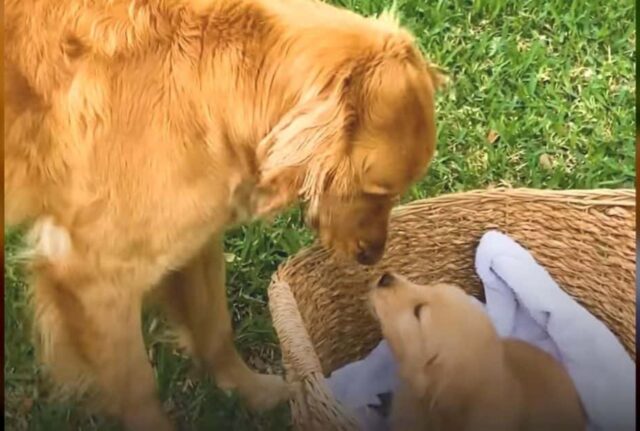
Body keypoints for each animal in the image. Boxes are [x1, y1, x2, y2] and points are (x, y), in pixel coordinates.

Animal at [5, 0, 444, 428]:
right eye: (377, 190)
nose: (372, 257)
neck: (205, 84)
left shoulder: (196, 236)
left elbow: (215, 328)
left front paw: (250, 392)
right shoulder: (95, 275)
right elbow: (138, 388)